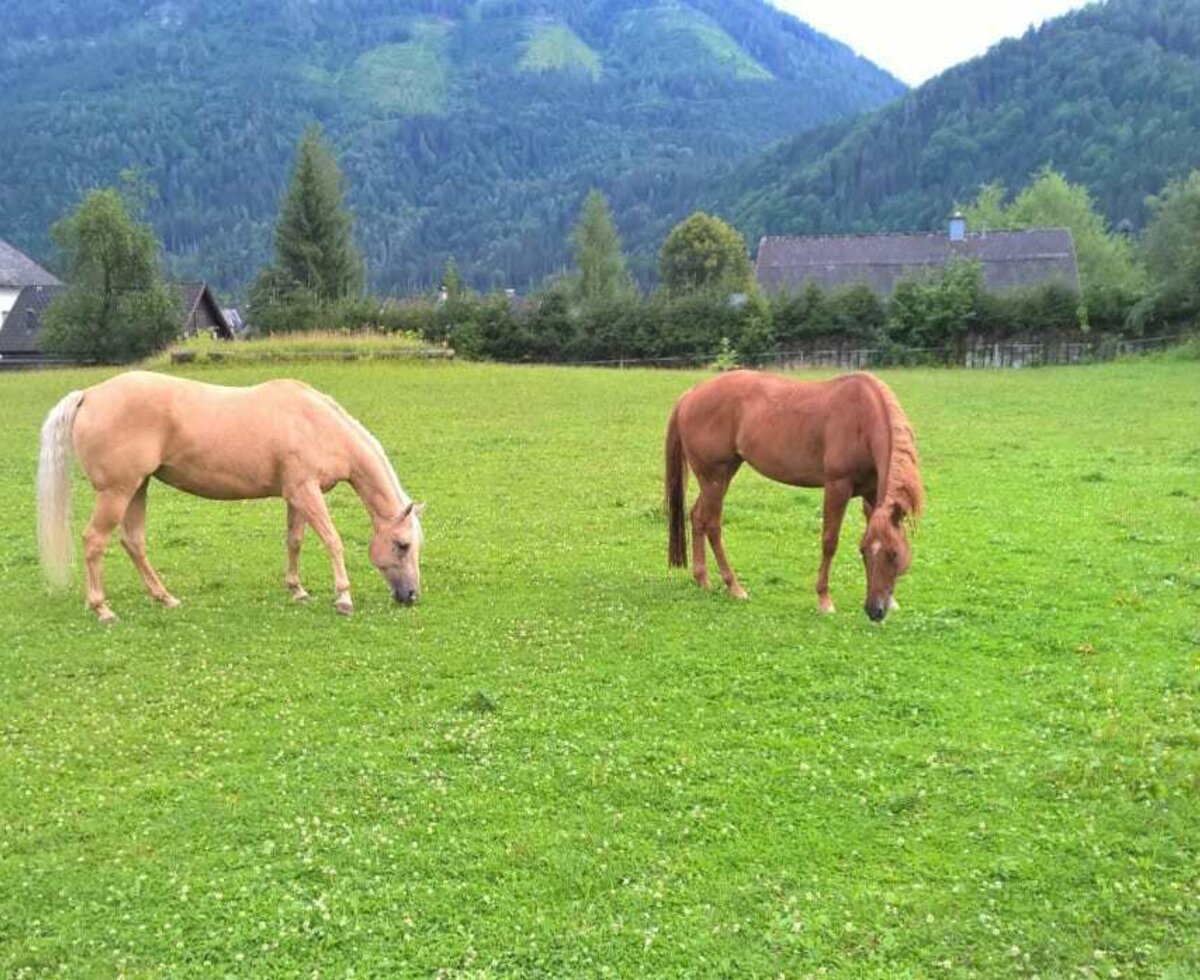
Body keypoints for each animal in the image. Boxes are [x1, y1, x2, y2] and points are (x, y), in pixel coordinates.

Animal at [36, 371, 427, 623]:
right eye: (403, 545)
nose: (410, 596)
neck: (315, 423)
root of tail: (89, 394)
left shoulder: (296, 495)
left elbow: (295, 541)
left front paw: (297, 590)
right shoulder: (306, 492)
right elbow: (332, 540)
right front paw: (343, 598)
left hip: (137, 487)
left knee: (133, 542)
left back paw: (165, 598)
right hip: (117, 492)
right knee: (94, 541)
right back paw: (103, 609)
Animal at [662, 367, 921, 618]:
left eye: (894, 553)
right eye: (864, 552)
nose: (874, 611)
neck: (863, 421)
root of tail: (690, 395)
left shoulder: (872, 493)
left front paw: (893, 602)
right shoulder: (837, 486)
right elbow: (829, 541)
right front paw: (824, 600)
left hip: (720, 476)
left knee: (697, 517)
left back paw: (702, 579)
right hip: (715, 478)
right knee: (713, 525)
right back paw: (734, 586)